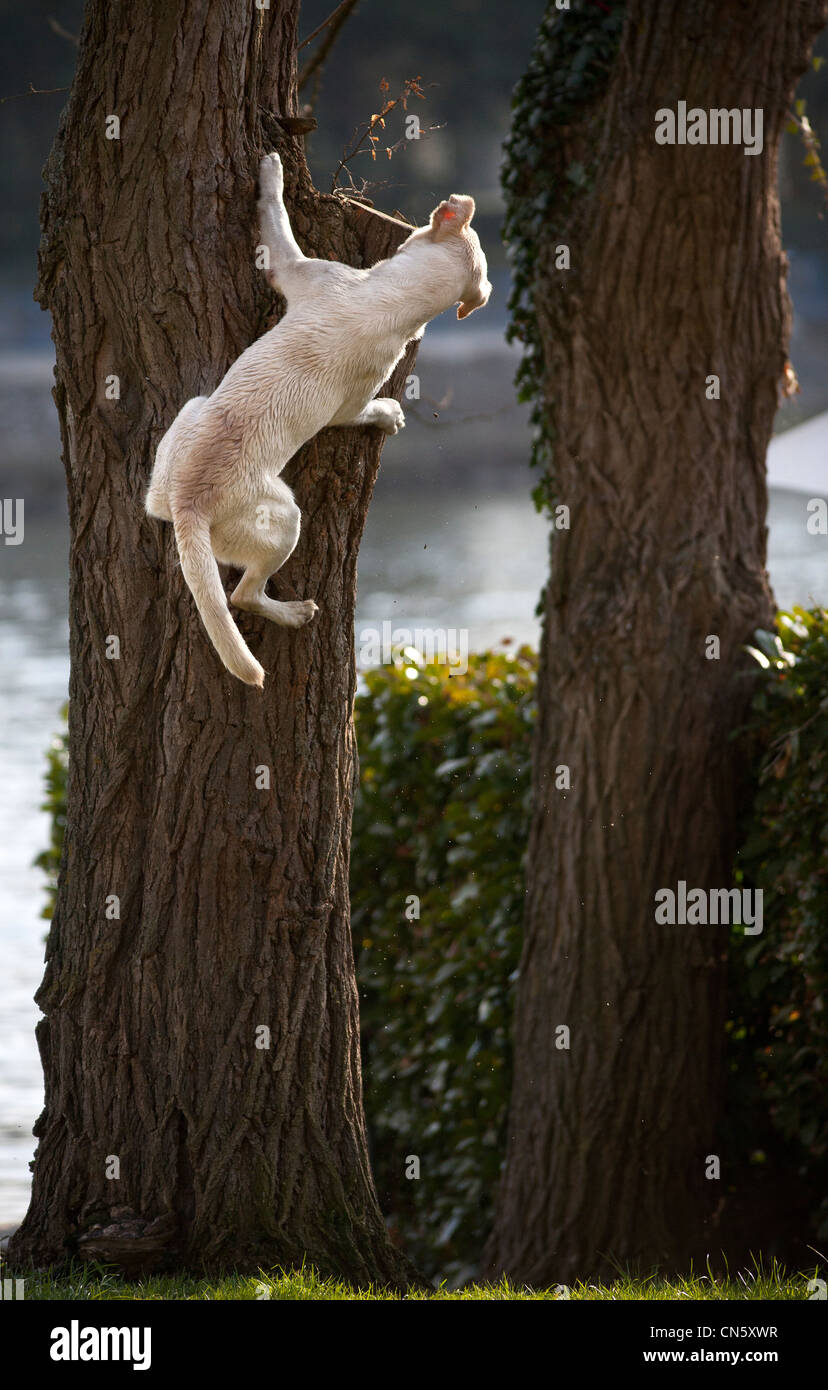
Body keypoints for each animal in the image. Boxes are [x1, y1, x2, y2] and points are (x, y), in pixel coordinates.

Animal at [146, 150, 491, 683]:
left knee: (242, 596)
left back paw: (290, 613)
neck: (393, 298)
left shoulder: (300, 277)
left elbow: (358, 412)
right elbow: (277, 216)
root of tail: (187, 506)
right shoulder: (308, 274)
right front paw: (272, 172)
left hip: (276, 510)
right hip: (198, 423)